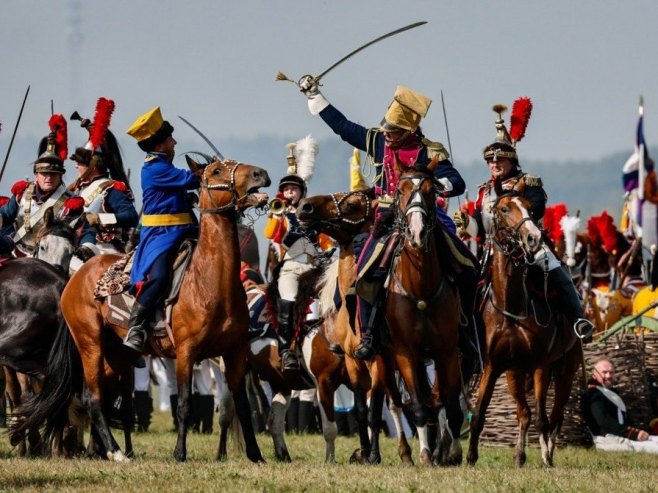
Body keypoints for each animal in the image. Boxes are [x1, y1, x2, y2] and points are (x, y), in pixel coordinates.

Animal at [13, 158, 270, 462]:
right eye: (217, 170)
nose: (260, 174)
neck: (210, 282)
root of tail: (73, 277)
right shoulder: (186, 353)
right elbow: (184, 404)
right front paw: (179, 453)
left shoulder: (235, 354)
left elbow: (242, 406)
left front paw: (256, 455)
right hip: (90, 344)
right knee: (92, 397)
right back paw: (114, 452)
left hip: (117, 354)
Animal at [466, 184, 580, 466]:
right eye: (504, 208)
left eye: (530, 207)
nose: (533, 238)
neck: (512, 309)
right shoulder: (492, 366)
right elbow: (480, 412)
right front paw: (471, 457)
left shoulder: (541, 365)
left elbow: (542, 418)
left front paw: (546, 459)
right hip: (514, 374)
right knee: (524, 413)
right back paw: (519, 454)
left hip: (565, 371)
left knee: (556, 416)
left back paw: (548, 452)